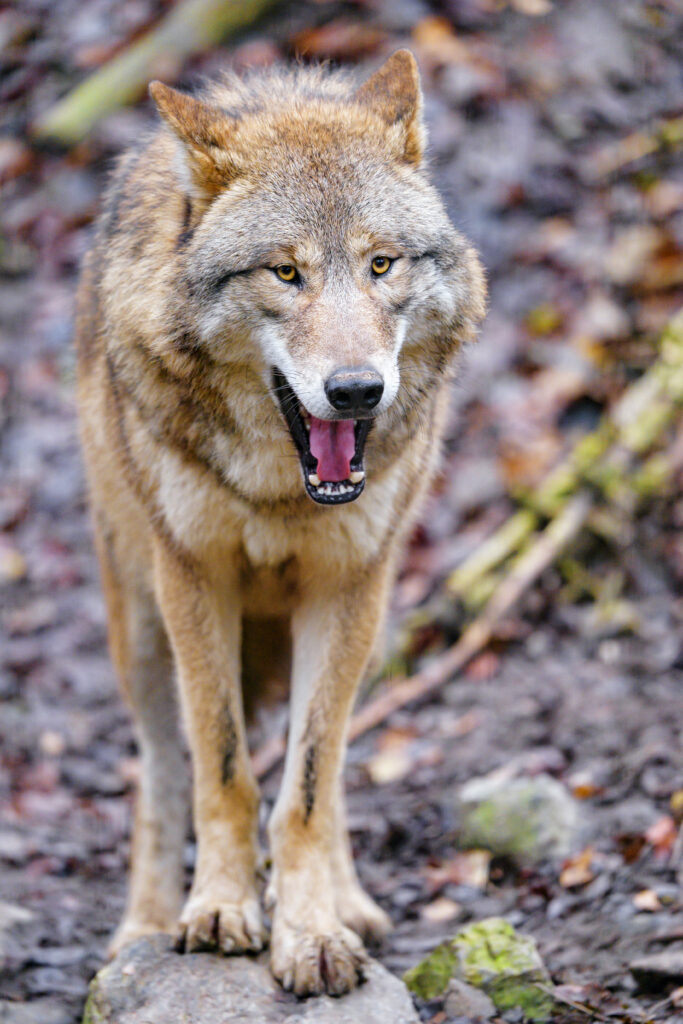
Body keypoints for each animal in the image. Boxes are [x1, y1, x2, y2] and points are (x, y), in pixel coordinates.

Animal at [75, 50, 486, 996]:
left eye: (380, 265)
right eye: (284, 273)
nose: (356, 390)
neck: (282, 493)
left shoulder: (345, 589)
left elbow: (303, 786)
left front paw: (312, 933)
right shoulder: (195, 580)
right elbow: (221, 771)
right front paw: (220, 911)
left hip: (371, 617)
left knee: (326, 772)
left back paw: (350, 903)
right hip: (138, 627)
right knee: (161, 773)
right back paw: (143, 926)